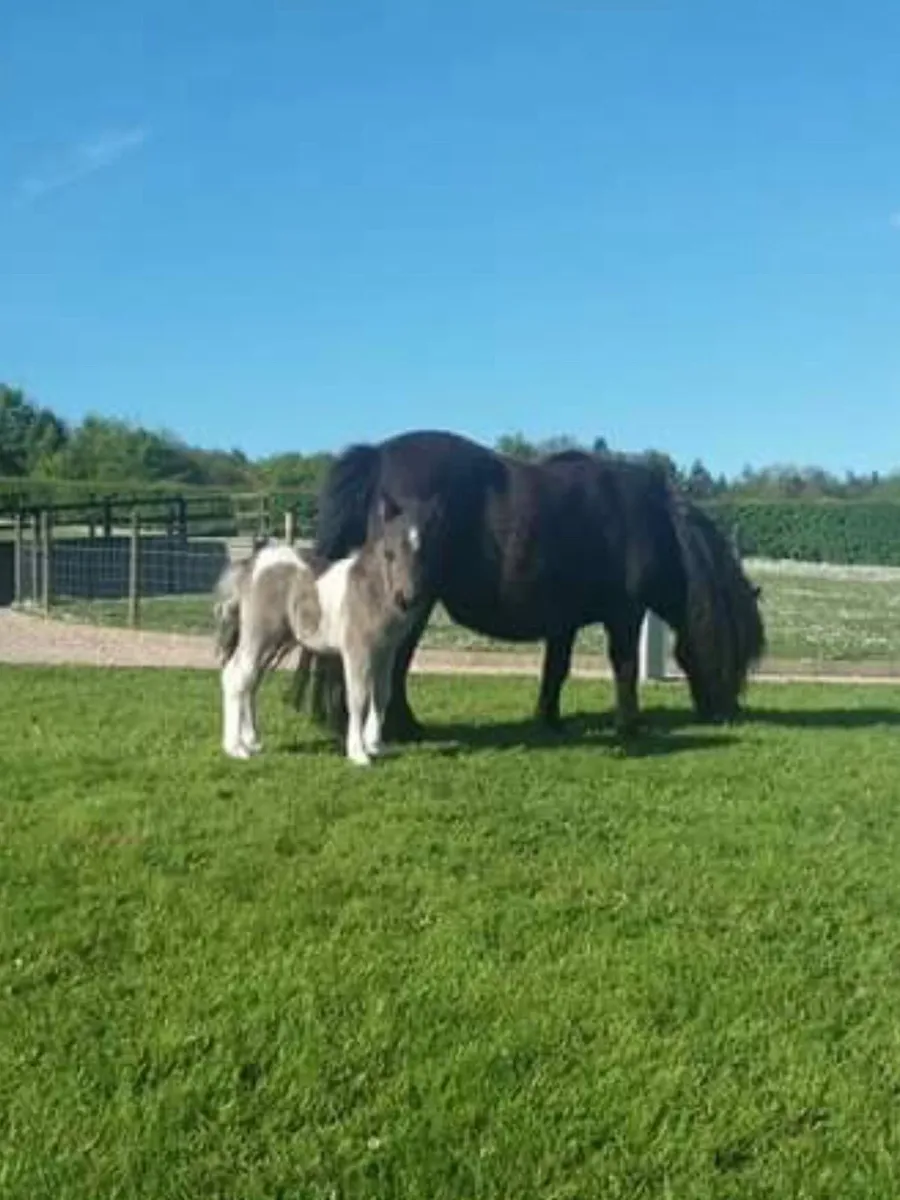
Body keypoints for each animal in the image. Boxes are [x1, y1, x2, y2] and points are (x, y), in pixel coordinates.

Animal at [214, 497, 430, 765]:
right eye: (388, 553)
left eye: (421, 551)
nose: (407, 598)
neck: (370, 590)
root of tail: (250, 565)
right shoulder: (357, 650)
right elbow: (358, 697)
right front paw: (358, 753)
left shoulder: (385, 651)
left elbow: (381, 694)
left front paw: (375, 745)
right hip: (260, 635)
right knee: (236, 676)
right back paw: (235, 748)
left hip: (273, 642)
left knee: (251, 681)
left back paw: (251, 741)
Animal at [291, 430, 765, 741]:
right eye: (737, 651)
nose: (729, 713)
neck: (654, 521)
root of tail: (379, 458)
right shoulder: (624, 615)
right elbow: (625, 666)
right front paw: (629, 725)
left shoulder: (564, 623)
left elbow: (556, 669)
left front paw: (548, 719)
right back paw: (403, 728)